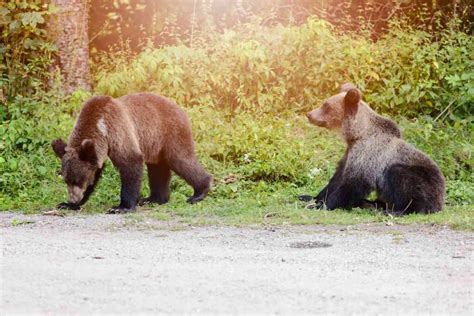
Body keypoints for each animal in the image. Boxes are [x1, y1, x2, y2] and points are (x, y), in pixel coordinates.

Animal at [51, 92, 211, 214]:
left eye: (78, 180)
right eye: (66, 180)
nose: (73, 198)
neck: (100, 128)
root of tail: (180, 108)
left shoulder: (117, 131)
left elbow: (130, 163)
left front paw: (121, 207)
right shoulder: (97, 154)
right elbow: (95, 174)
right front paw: (67, 204)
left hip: (170, 132)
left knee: (181, 159)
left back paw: (199, 193)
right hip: (155, 145)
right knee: (158, 169)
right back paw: (153, 199)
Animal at [300, 82, 444, 215]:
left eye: (326, 106)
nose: (309, 114)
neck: (358, 134)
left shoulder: (369, 154)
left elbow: (352, 184)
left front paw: (323, 205)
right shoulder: (350, 153)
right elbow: (336, 178)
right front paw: (309, 197)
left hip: (423, 179)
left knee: (401, 177)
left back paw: (397, 211)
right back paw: (370, 204)